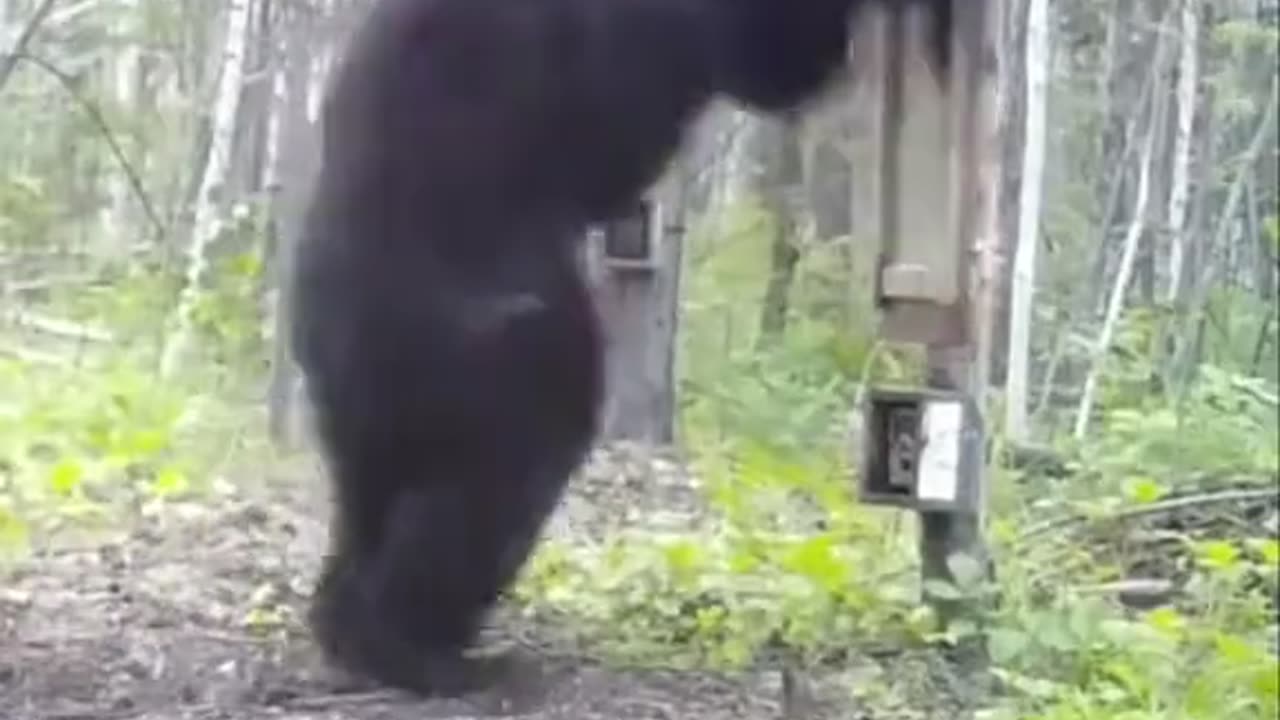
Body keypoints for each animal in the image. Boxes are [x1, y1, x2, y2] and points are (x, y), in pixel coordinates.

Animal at [289, 0, 951, 698]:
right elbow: (731, 73)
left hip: (368, 389)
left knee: (373, 490)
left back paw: (351, 625)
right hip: (469, 335)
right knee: (504, 460)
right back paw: (423, 650)